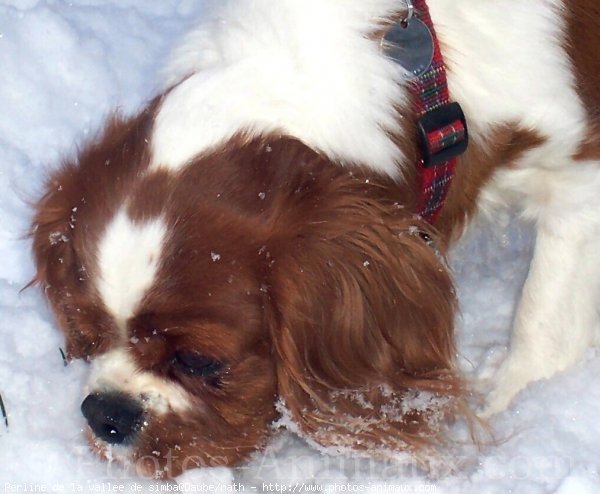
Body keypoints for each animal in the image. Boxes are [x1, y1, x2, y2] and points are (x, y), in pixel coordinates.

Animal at [31, 0, 600, 478]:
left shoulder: (580, 183)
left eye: (199, 361)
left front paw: (504, 395)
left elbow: (542, 321)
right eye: (87, 335)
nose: (105, 414)